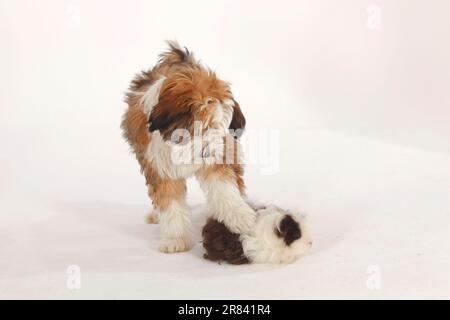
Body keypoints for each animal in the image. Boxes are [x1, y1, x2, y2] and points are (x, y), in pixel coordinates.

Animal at [122, 42, 256, 252]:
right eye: (203, 126)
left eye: (218, 127)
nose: (208, 151)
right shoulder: (159, 167)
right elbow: (170, 203)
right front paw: (175, 239)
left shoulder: (217, 161)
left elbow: (225, 190)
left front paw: (240, 217)